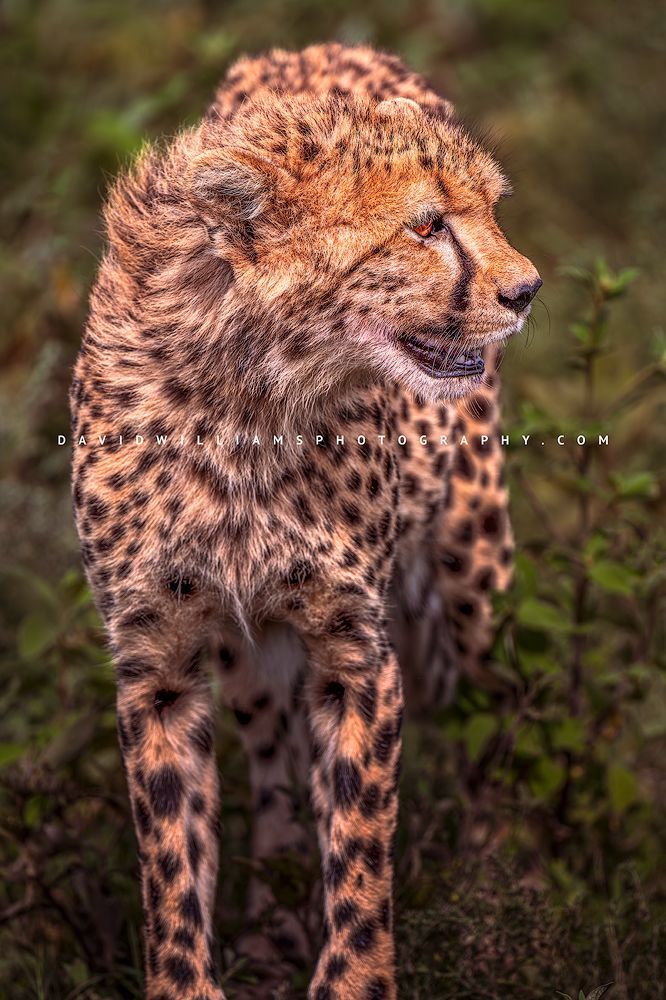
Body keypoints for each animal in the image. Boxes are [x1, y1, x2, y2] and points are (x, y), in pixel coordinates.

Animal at [69, 41, 541, 1000]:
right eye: (427, 225)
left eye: (488, 211)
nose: (527, 290)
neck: (249, 397)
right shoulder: (157, 661)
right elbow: (172, 862)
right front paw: (194, 975)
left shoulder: (355, 654)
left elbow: (359, 849)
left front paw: (355, 977)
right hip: (246, 656)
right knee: (274, 766)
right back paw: (273, 918)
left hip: (472, 570)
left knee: (496, 705)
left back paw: (495, 886)